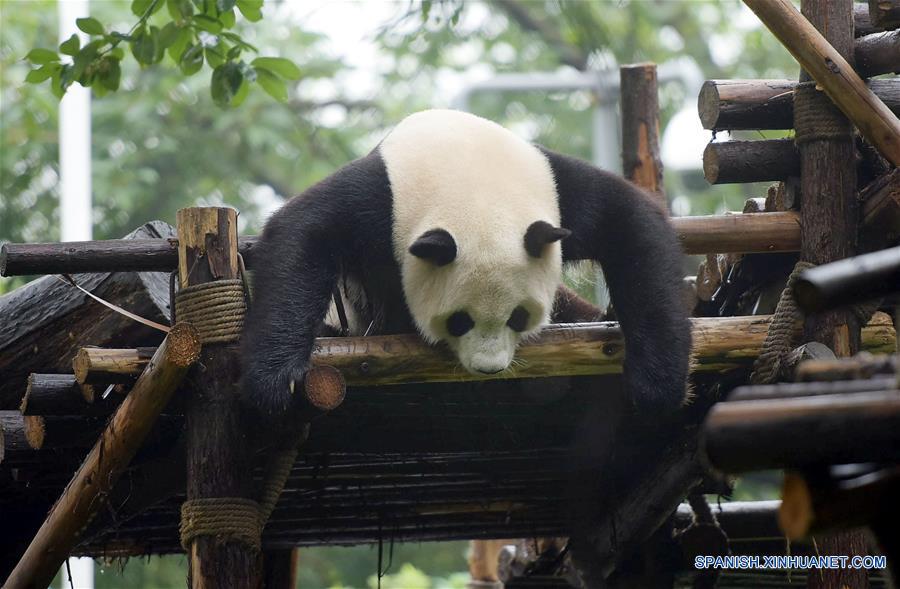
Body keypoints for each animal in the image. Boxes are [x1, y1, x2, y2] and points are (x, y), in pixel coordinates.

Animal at [242, 109, 692, 416]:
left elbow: (632, 222)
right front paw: (274, 380)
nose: (489, 369)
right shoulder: (382, 197)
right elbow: (305, 229)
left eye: (519, 317)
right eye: (459, 320)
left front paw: (657, 386)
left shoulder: (556, 185)